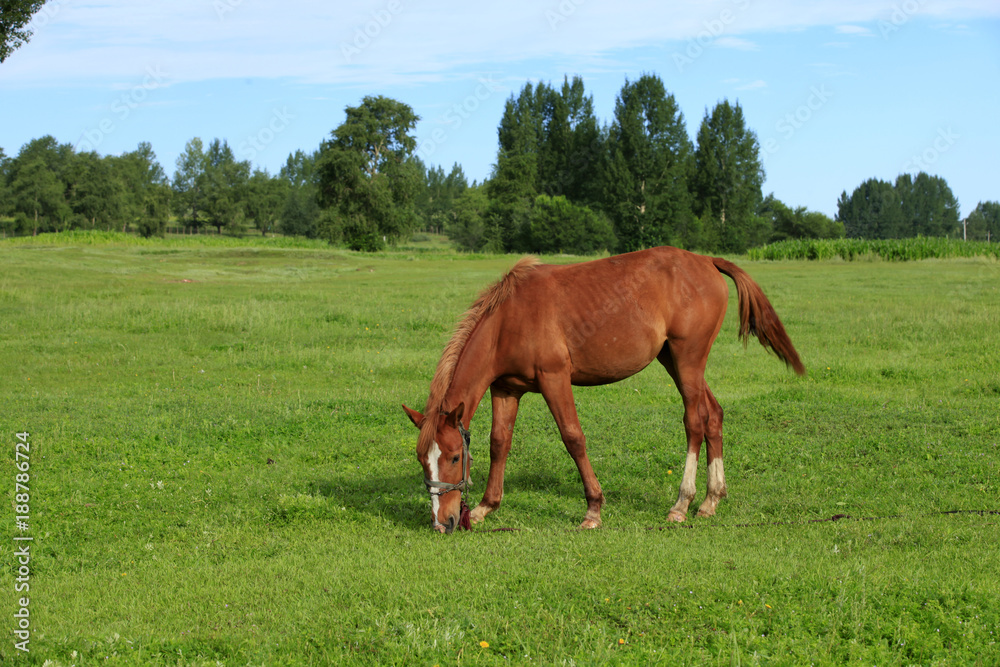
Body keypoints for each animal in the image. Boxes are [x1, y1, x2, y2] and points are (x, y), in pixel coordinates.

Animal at [402, 248, 800, 536]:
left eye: (455, 457)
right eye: (423, 460)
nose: (442, 522)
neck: (509, 319)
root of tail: (706, 260)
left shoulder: (554, 379)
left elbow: (573, 438)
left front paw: (593, 509)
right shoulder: (506, 389)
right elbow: (499, 442)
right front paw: (487, 506)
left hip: (688, 361)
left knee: (694, 422)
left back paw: (681, 504)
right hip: (675, 360)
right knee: (714, 415)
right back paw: (710, 500)